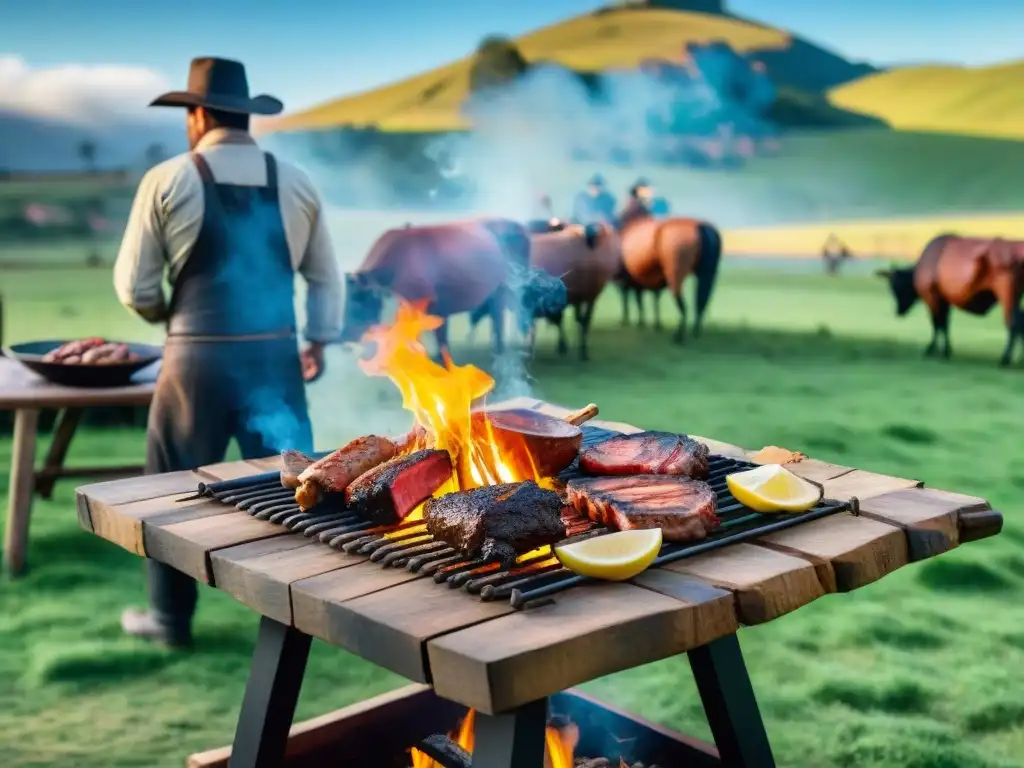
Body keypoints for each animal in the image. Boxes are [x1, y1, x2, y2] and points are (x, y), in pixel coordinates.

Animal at [610, 210, 724, 342]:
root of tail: (703, 227)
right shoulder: (645, 283)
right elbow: (649, 301)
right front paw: (653, 324)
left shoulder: (626, 282)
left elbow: (630, 300)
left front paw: (629, 321)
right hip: (708, 274)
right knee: (701, 302)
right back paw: (695, 332)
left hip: (675, 276)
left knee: (683, 306)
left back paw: (679, 336)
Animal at [872, 234, 1024, 366]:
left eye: (897, 287)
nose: (898, 312)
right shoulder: (945, 300)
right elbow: (945, 324)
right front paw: (947, 350)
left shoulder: (932, 296)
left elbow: (937, 323)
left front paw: (933, 350)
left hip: (1007, 294)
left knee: (1013, 323)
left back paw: (1005, 359)